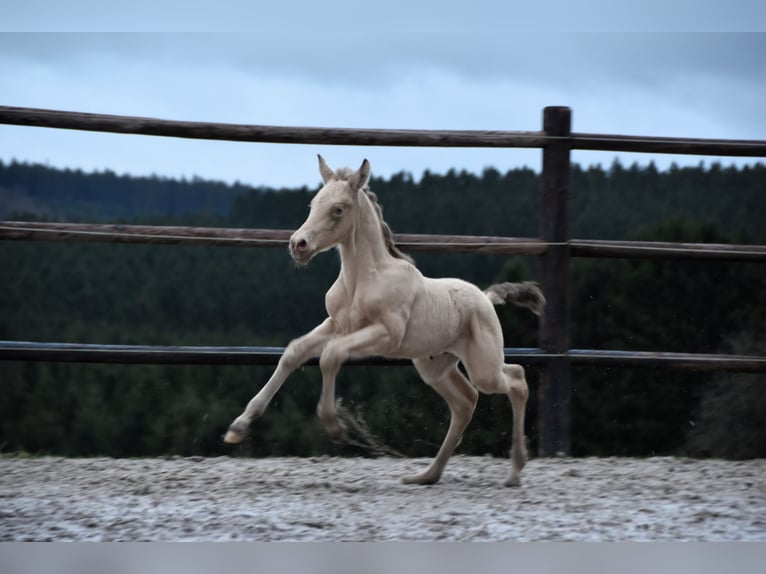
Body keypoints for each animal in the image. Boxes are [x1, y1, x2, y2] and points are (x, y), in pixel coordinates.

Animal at [225, 156, 548, 486]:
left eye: (339, 209)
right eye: (313, 203)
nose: (298, 245)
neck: (363, 279)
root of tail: (486, 297)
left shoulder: (386, 334)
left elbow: (331, 355)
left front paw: (335, 426)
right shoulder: (336, 326)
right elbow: (294, 352)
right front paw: (238, 427)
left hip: (483, 367)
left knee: (516, 379)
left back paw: (514, 470)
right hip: (434, 366)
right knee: (465, 402)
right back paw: (427, 475)